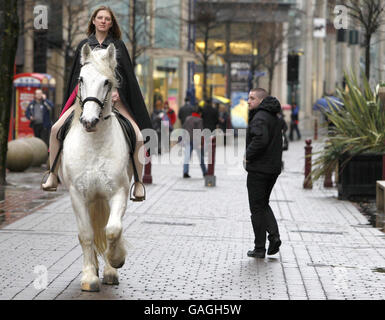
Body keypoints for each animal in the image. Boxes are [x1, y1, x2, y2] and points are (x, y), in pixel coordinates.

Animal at [60, 43, 130, 292]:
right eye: (81, 79)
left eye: (107, 82)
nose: (89, 122)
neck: (95, 144)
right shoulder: (77, 195)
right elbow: (87, 235)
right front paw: (89, 277)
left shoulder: (118, 192)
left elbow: (112, 230)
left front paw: (116, 260)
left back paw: (108, 269)